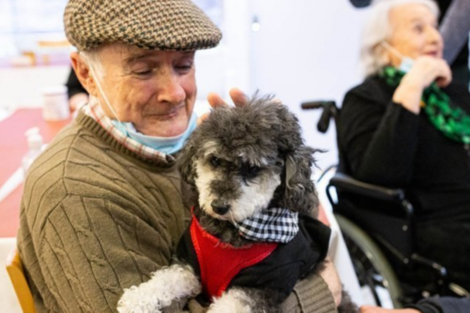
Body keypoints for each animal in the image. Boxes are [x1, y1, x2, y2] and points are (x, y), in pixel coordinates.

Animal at [117, 95, 356, 312]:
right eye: (214, 160)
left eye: (252, 168)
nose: (219, 206)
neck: (230, 231)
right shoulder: (190, 266)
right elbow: (167, 278)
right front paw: (136, 299)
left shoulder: (260, 286)